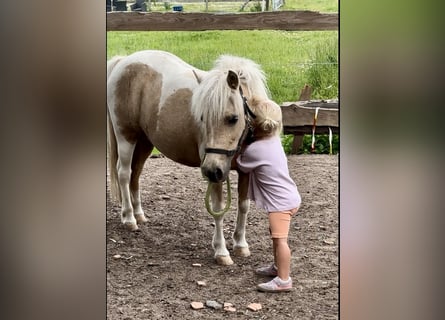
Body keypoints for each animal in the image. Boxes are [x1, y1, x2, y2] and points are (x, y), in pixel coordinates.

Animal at [106, 50, 268, 264]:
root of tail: (123, 61)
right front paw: (221, 252)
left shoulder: (243, 171)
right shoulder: (216, 175)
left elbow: (243, 206)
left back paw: (139, 214)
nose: (210, 170)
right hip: (126, 136)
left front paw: (241, 245)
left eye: (233, 118)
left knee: (135, 174)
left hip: (145, 142)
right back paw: (129, 218)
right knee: (124, 174)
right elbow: (218, 209)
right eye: (202, 118)